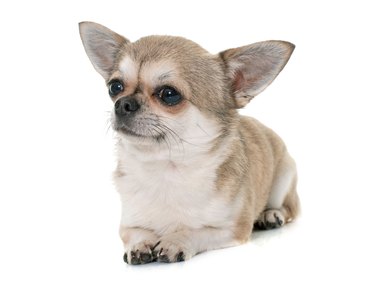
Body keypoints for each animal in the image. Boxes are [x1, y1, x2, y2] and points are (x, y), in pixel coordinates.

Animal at [78, 21, 300, 264]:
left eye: (169, 94)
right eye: (115, 87)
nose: (122, 104)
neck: (166, 169)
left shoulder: (233, 229)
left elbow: (195, 230)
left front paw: (174, 241)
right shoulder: (128, 225)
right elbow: (135, 233)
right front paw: (139, 245)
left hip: (284, 177)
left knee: (291, 208)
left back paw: (271, 215)